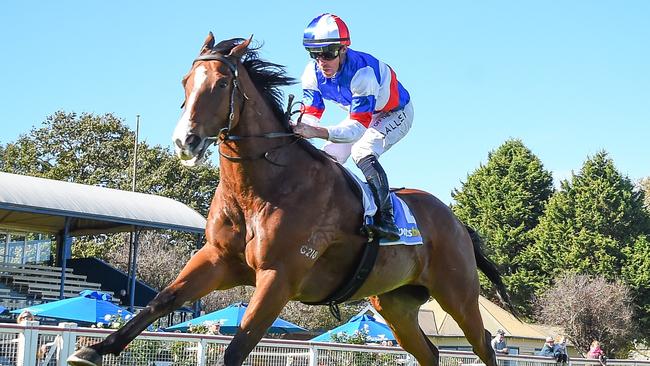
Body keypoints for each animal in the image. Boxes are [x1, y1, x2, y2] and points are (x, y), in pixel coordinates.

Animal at [68, 32, 512, 366]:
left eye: (222, 84)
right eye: (185, 81)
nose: (185, 142)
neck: (261, 189)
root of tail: (457, 222)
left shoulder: (279, 275)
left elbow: (237, 348)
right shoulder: (217, 259)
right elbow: (162, 300)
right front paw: (95, 348)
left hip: (458, 294)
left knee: (484, 346)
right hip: (396, 305)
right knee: (430, 353)